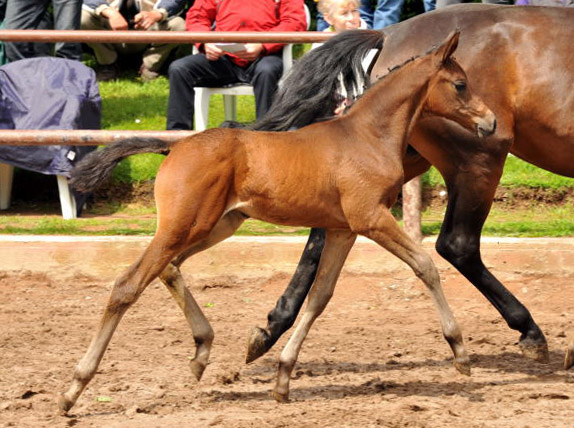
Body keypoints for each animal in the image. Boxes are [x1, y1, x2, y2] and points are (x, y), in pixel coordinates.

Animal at [60, 30, 498, 412]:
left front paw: (284, 378)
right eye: (460, 84)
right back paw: (73, 389)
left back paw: (202, 352)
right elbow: (426, 266)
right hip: (183, 225)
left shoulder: (343, 230)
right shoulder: (370, 219)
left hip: (218, 224)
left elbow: (320, 296)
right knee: (127, 285)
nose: (491, 122)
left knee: (169, 269)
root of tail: (176, 146)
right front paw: (460, 353)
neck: (366, 135)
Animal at [248, 3, 574, 370]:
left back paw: (271, 328)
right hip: (477, 160)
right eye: (460, 85)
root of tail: (388, 34)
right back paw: (528, 330)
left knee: (322, 235)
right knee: (457, 244)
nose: (488, 121)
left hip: (399, 160)